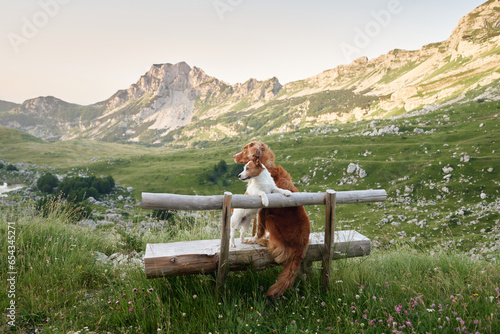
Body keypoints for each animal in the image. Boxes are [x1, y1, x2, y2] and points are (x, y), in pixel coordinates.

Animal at [233, 140, 310, 298]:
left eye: (244, 149)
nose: (233, 156)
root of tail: (301, 246)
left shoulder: (264, 210)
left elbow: (259, 227)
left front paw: (254, 239)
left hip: (272, 219)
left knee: (276, 246)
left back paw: (263, 241)